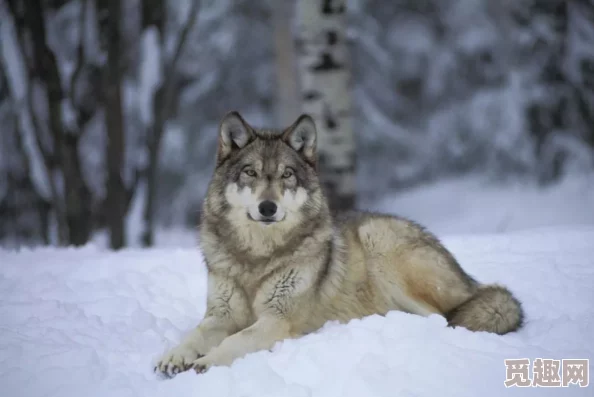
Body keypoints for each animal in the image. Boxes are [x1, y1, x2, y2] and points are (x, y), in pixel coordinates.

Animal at [154, 110, 524, 374]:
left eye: (287, 175)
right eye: (251, 173)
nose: (268, 207)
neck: (257, 256)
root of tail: (468, 280)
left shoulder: (277, 319)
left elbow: (234, 342)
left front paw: (204, 362)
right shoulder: (220, 316)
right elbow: (194, 335)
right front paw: (174, 356)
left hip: (381, 243)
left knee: (442, 318)